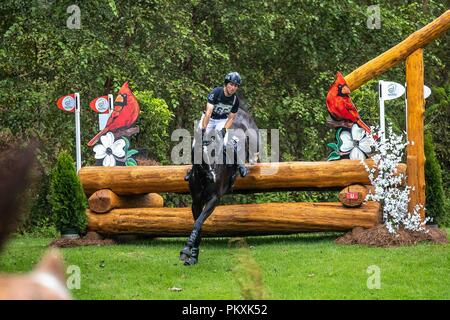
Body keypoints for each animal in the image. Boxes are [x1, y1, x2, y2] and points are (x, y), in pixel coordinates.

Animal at [178, 109, 258, 266]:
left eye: (214, 152)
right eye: (197, 153)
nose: (212, 176)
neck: (203, 178)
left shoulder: (214, 200)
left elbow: (198, 223)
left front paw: (186, 251)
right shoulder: (196, 202)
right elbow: (198, 224)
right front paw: (192, 255)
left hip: (253, 139)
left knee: (254, 153)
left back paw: (246, 165)